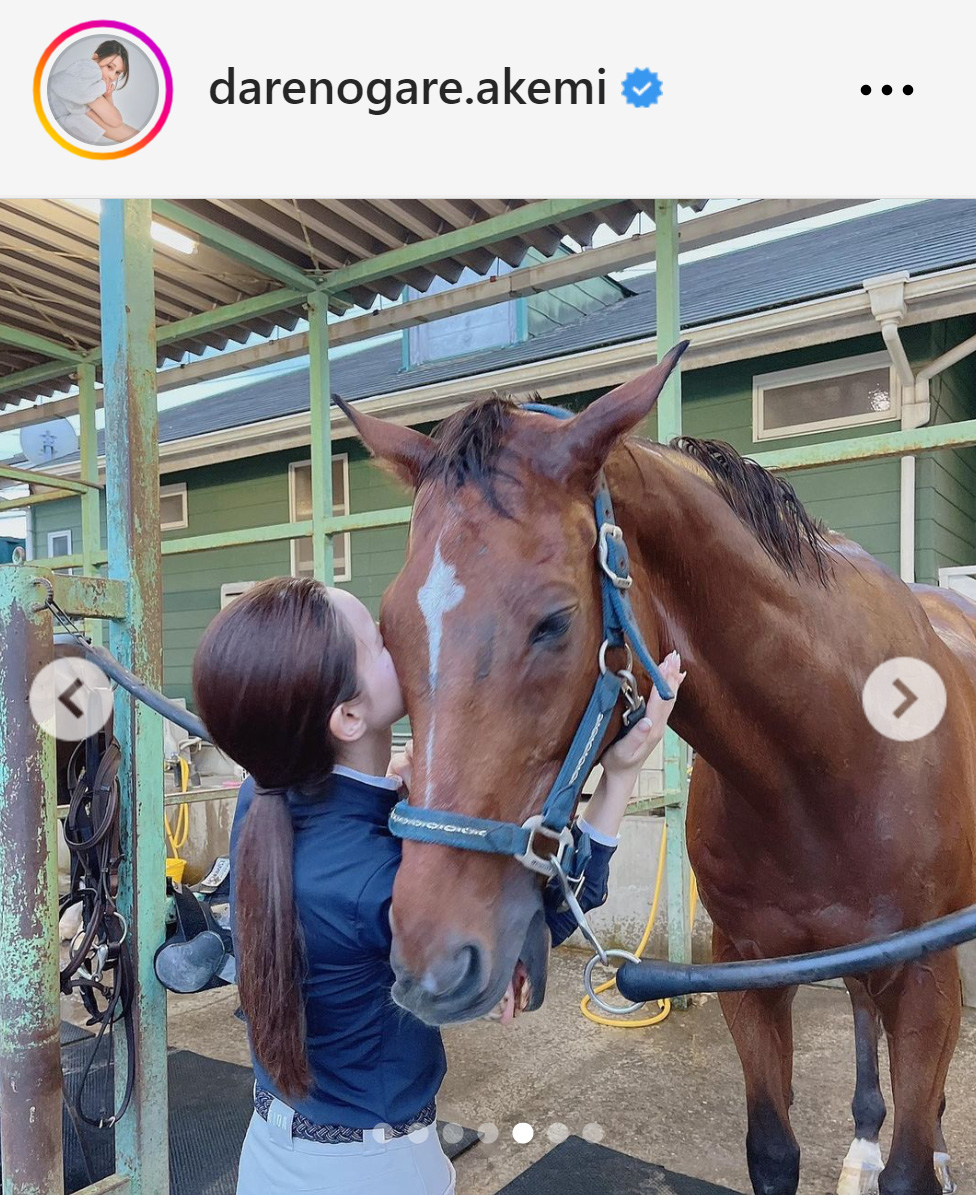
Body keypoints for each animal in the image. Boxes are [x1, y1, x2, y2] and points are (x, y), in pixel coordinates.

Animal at [336, 347, 976, 1195]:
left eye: (554, 621)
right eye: (390, 626)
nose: (428, 959)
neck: (828, 753)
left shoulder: (925, 977)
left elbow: (910, 1168)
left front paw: (918, 1147)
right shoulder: (747, 972)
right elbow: (773, 1149)